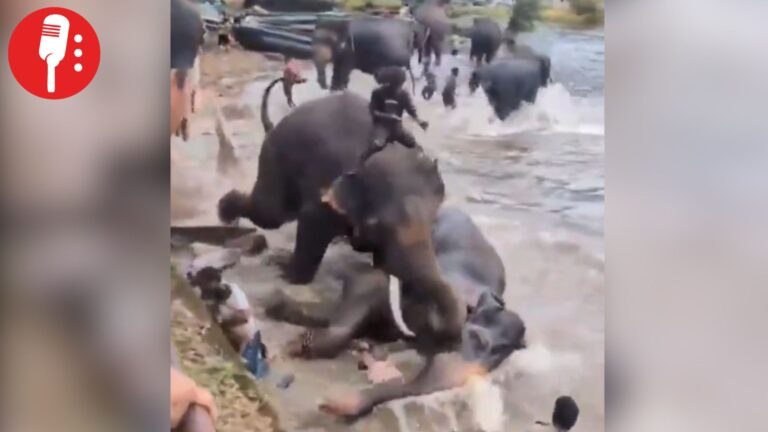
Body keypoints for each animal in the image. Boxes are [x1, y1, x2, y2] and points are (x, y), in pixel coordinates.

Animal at [218, 90, 465, 346]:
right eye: (379, 225)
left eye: (433, 221)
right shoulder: (324, 197)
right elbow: (310, 224)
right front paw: (288, 274)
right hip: (275, 156)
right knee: (271, 213)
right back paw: (226, 213)